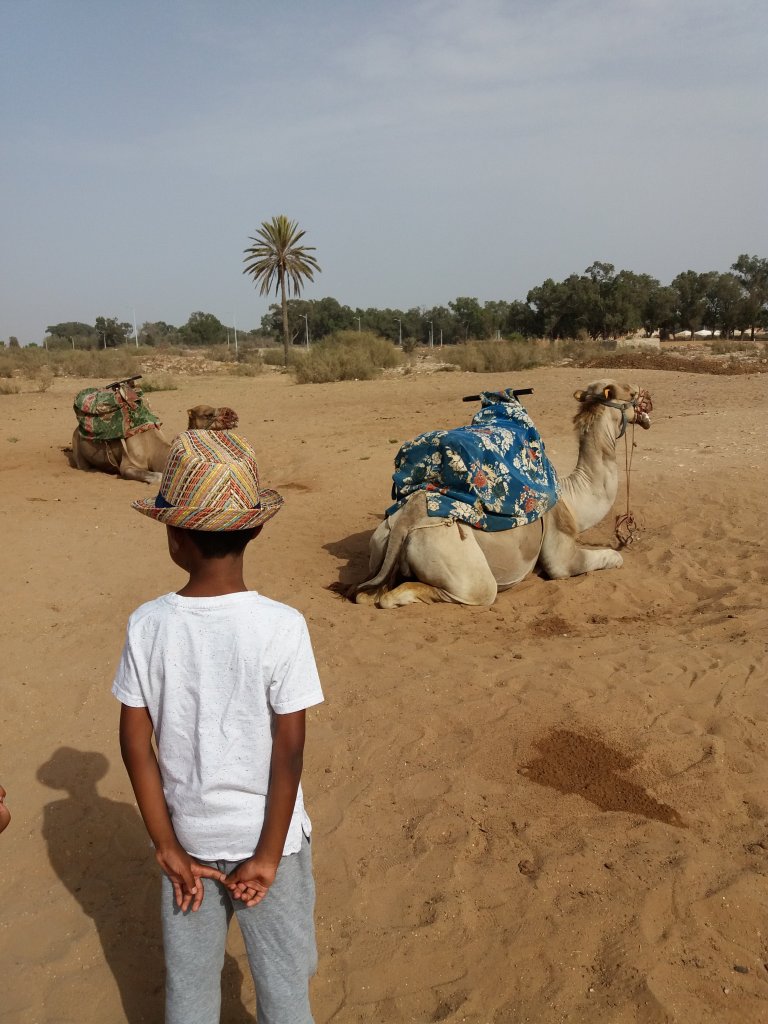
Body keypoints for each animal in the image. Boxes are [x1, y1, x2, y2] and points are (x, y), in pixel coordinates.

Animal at [352, 379, 652, 608]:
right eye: (631, 393)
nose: (649, 401)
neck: (573, 498)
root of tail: (404, 522)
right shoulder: (561, 552)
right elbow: (611, 558)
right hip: (456, 560)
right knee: (471, 591)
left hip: (381, 542)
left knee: (368, 594)